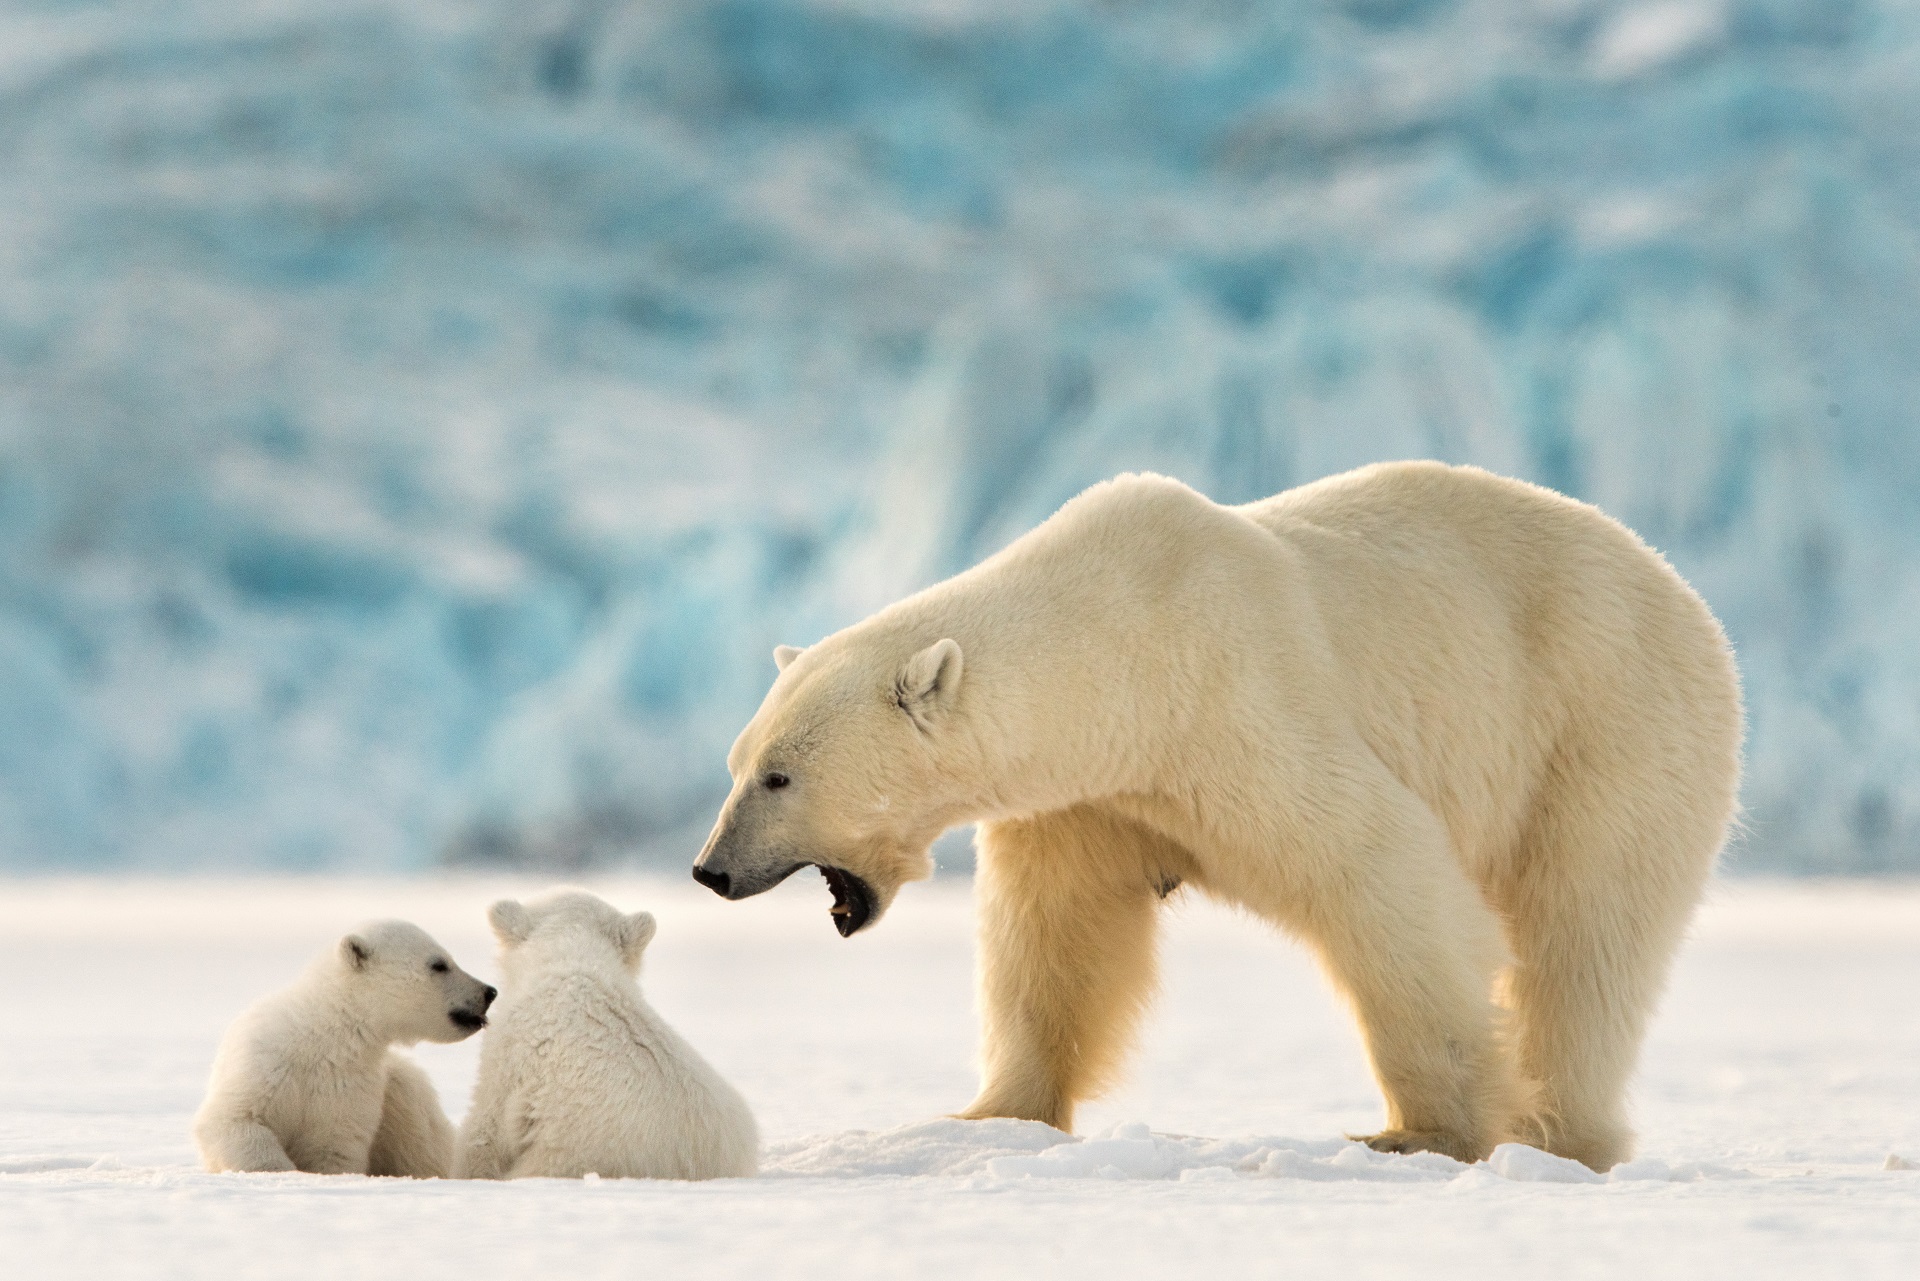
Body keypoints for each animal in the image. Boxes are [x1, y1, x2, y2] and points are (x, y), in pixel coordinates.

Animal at [698, 462, 1751, 1175]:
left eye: (780, 777)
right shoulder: (1092, 796)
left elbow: (1379, 865)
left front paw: (1421, 1132)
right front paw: (989, 1116)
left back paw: (1560, 1135)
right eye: (738, 764)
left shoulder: (1235, 707)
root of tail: (1687, 595)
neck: (1121, 644)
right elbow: (1058, 936)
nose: (711, 869)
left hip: (1605, 723)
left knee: (1586, 938)